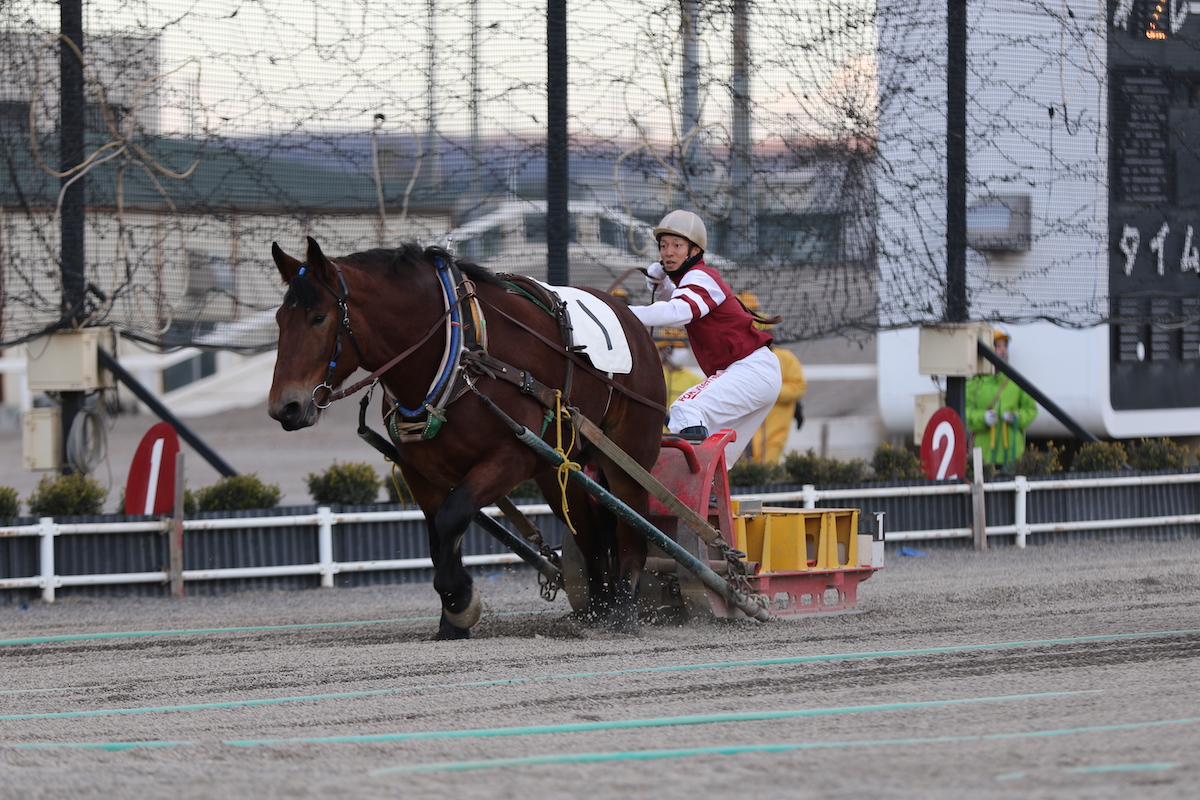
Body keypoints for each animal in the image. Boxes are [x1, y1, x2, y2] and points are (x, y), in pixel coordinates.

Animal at [267, 236, 667, 638]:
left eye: (319, 318)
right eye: (280, 319)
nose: (284, 407)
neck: (459, 354)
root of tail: (634, 322)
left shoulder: (511, 457)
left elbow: (452, 516)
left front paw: (460, 602)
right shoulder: (420, 471)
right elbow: (437, 537)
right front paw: (451, 617)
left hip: (629, 459)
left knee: (632, 532)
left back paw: (623, 611)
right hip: (558, 470)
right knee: (590, 535)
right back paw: (598, 609)